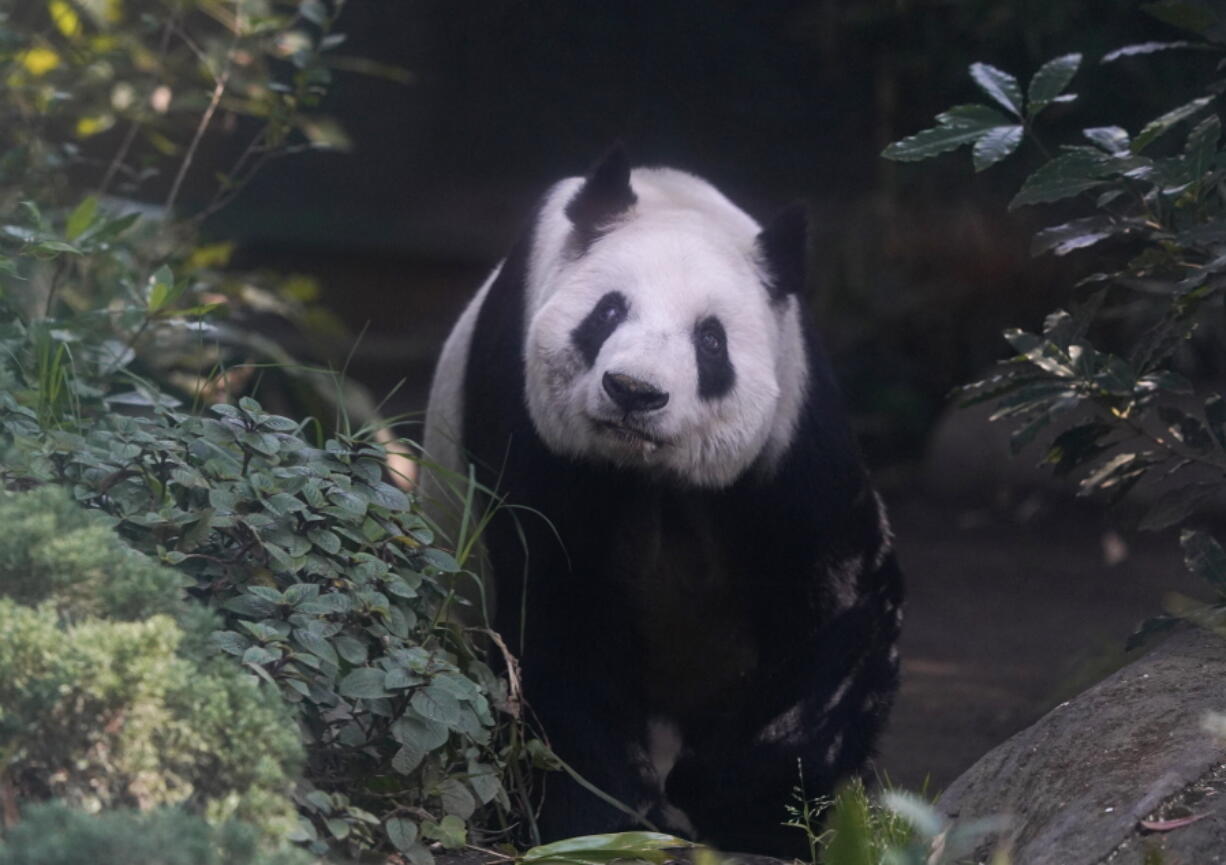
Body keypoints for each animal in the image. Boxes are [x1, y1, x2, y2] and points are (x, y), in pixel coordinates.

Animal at [421, 144, 902, 852]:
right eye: (608, 312)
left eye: (711, 339)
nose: (634, 390)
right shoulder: (527, 418)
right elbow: (560, 609)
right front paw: (607, 820)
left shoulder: (792, 429)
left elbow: (840, 601)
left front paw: (746, 808)